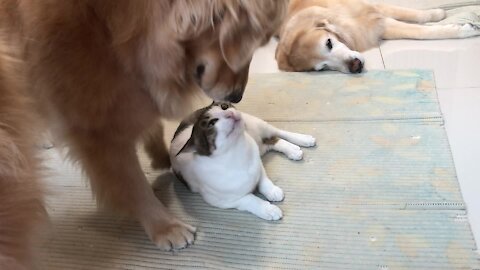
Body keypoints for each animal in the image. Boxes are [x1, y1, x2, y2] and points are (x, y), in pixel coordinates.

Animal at [171, 101, 316, 219]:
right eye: (212, 123)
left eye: (224, 106)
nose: (229, 112)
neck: (237, 150)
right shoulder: (225, 201)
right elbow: (251, 200)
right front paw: (269, 209)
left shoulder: (258, 166)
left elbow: (264, 181)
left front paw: (272, 190)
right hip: (260, 143)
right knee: (273, 142)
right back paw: (292, 149)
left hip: (258, 124)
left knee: (278, 133)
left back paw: (302, 140)